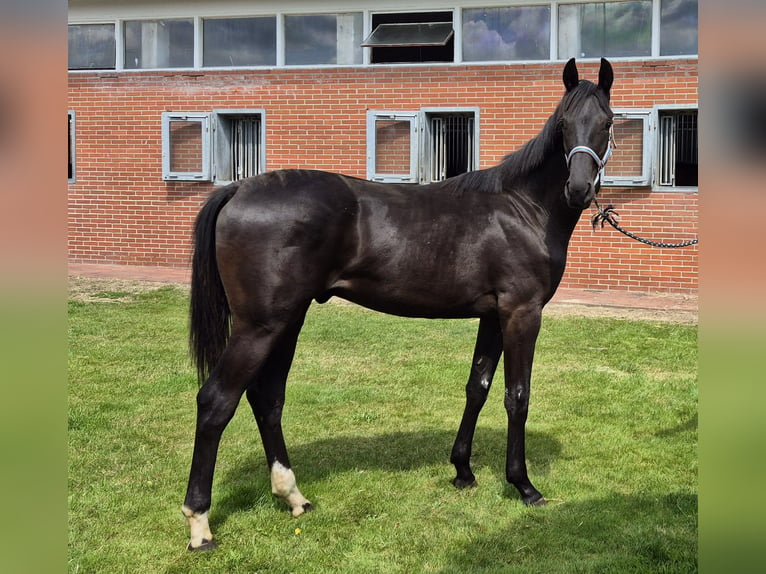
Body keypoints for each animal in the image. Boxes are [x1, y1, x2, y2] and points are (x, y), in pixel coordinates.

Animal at [183, 58, 616, 552]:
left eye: (607, 122)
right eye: (563, 124)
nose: (579, 188)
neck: (522, 208)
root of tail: (237, 189)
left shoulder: (492, 315)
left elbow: (478, 387)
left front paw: (463, 471)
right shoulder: (522, 313)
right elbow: (517, 396)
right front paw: (523, 485)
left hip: (287, 321)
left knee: (267, 397)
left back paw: (293, 496)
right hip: (259, 327)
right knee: (217, 402)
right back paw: (199, 523)